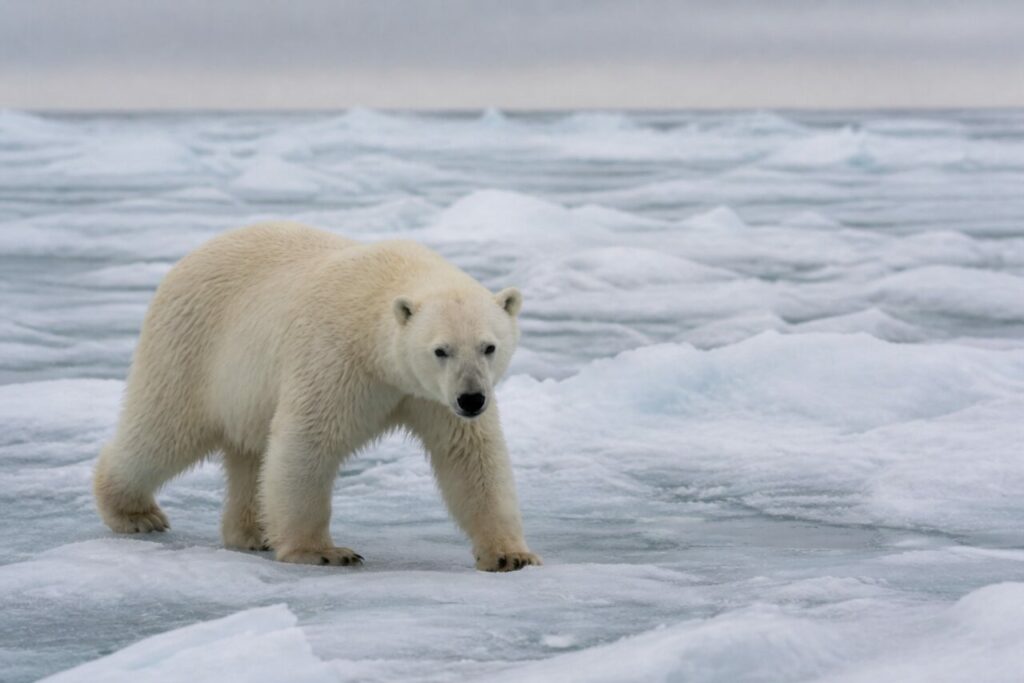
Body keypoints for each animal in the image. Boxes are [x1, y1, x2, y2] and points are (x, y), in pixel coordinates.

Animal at [93, 222, 540, 572]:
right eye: (440, 350)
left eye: (489, 346)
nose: (471, 399)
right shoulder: (336, 358)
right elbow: (308, 442)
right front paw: (323, 552)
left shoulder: (431, 397)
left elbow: (470, 457)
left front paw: (510, 555)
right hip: (191, 348)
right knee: (163, 431)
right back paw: (135, 513)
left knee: (250, 454)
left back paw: (254, 531)